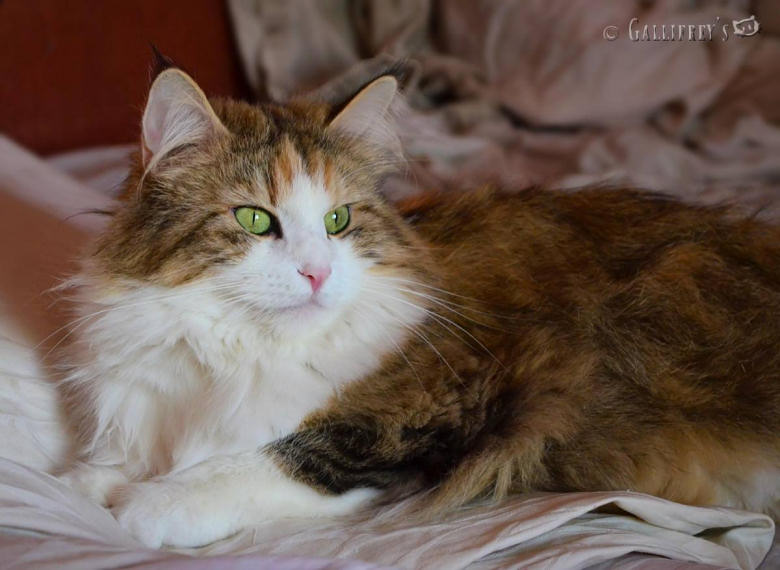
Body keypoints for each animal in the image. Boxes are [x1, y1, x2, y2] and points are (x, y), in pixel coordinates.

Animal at [58, 63, 780, 549]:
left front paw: (140, 505)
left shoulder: (429, 419)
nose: (318, 273)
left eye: (339, 220)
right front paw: (88, 484)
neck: (233, 349)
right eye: (255, 220)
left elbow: (265, 459)